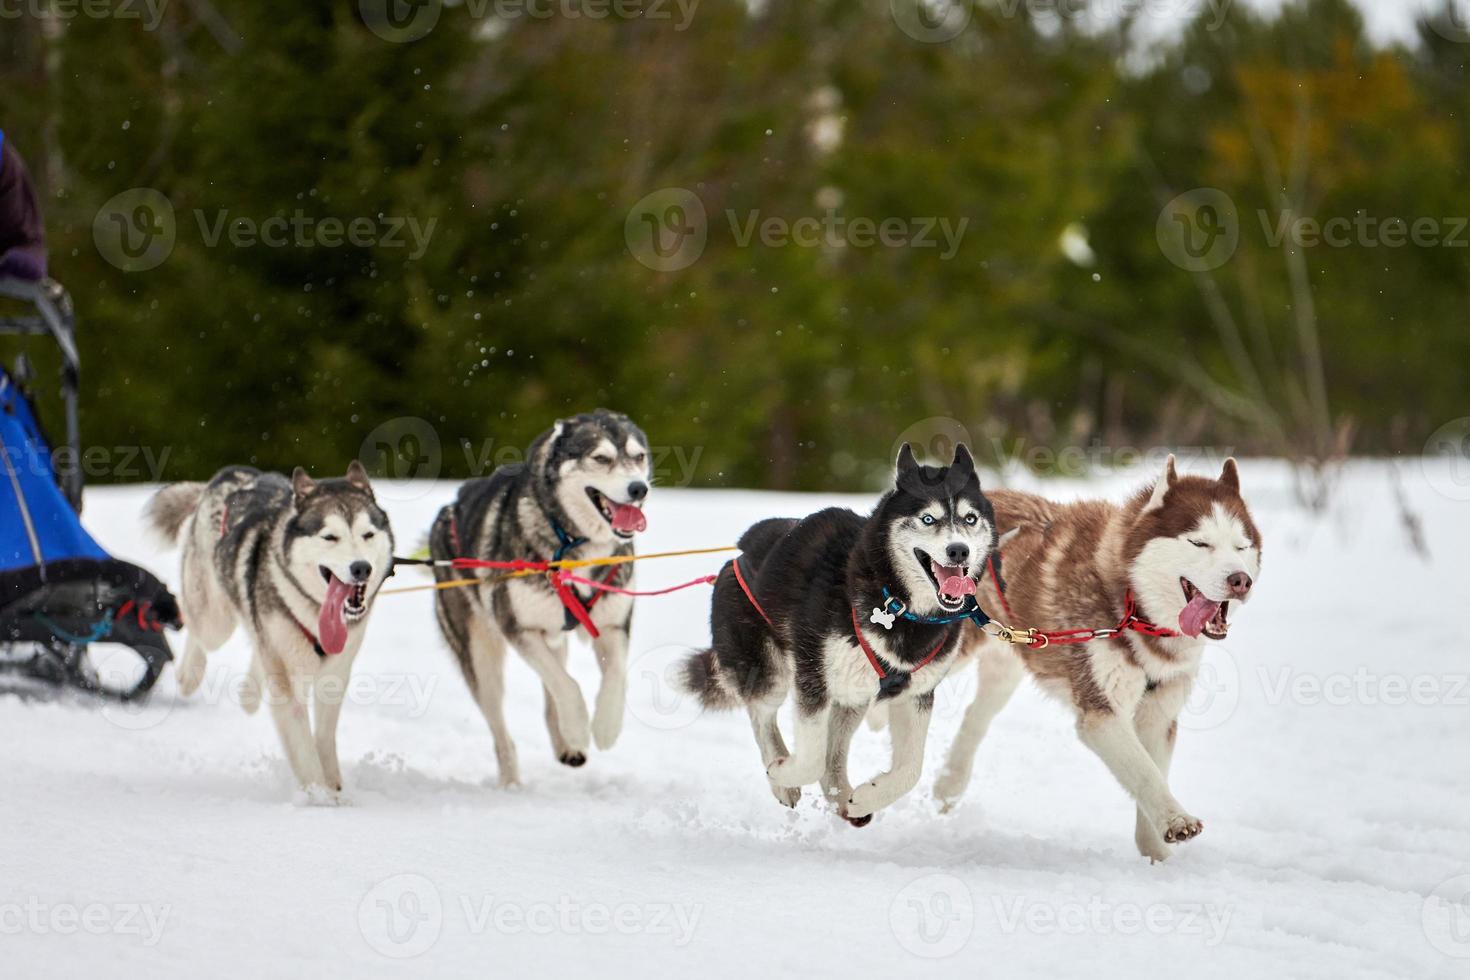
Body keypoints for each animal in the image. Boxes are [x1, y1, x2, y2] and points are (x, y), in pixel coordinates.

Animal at [144, 461, 391, 799]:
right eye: (330, 537)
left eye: (368, 534)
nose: (361, 568)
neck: (315, 612)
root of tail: (227, 474)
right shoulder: (287, 681)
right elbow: (302, 743)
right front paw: (320, 796)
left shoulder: (335, 673)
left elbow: (324, 737)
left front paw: (333, 785)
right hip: (215, 620)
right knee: (198, 626)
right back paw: (189, 675)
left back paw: (249, 691)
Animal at [429, 411, 652, 787]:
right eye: (601, 458)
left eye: (639, 457)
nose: (639, 488)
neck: (574, 543)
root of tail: (447, 513)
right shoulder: (519, 628)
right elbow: (567, 686)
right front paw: (578, 727)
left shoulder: (613, 625)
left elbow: (616, 676)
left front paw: (605, 726)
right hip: (481, 658)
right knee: (502, 728)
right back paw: (512, 781)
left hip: (553, 637)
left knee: (551, 694)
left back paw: (566, 745)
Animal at [679, 449, 999, 822]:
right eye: (928, 519)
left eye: (970, 518)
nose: (959, 550)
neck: (897, 603)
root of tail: (741, 551)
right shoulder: (812, 679)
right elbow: (811, 758)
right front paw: (784, 772)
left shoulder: (915, 695)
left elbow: (910, 770)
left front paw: (869, 796)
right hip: (770, 673)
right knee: (763, 717)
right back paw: (782, 779)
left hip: (853, 697)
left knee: (834, 750)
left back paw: (842, 796)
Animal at [929, 455, 1264, 863]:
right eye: (1200, 543)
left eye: (1241, 546)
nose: (1240, 580)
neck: (1134, 608)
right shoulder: (1101, 714)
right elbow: (1144, 772)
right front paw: (1176, 819)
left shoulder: (1159, 713)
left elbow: (1153, 769)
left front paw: (1156, 854)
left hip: (1007, 666)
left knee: (976, 717)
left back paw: (949, 786)